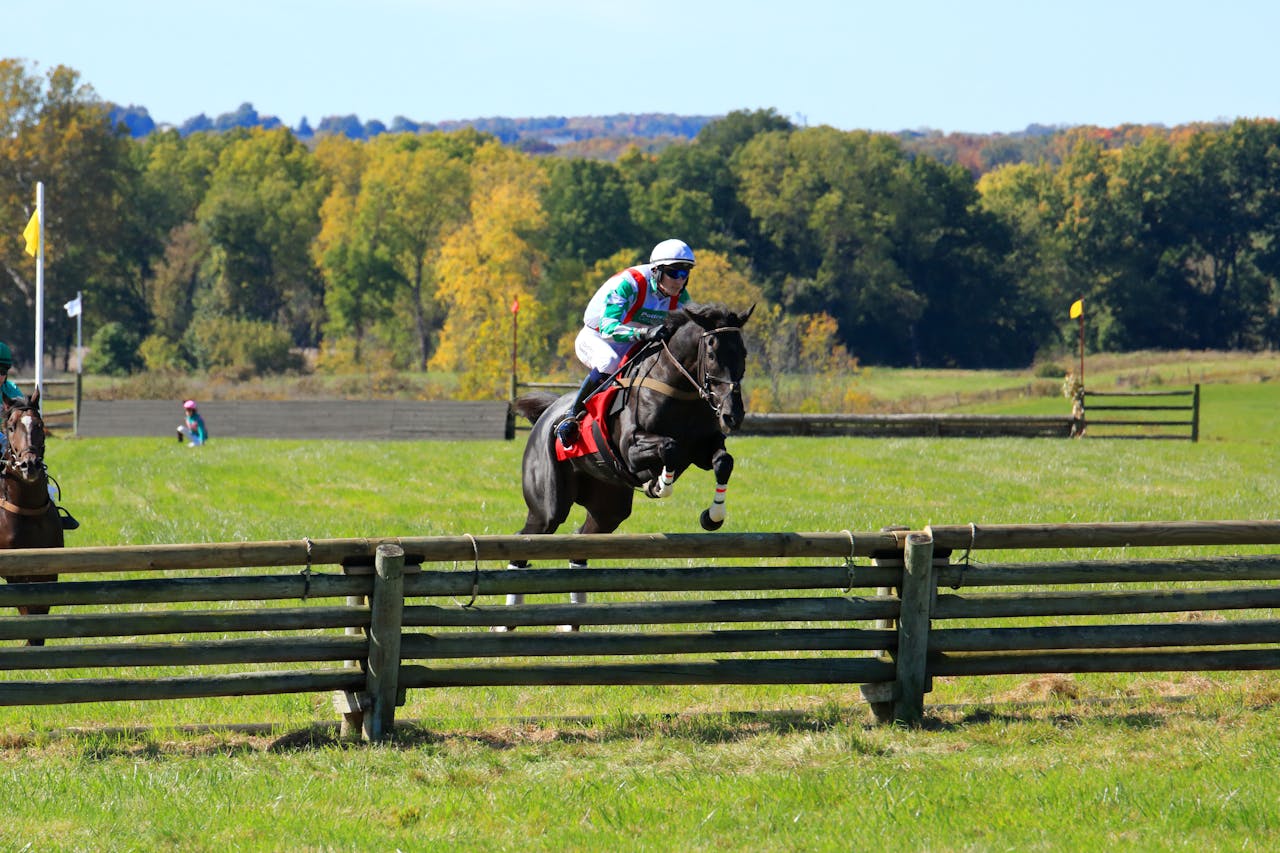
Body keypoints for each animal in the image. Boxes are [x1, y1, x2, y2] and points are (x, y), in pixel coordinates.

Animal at [505, 302, 753, 627]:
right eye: (711, 354)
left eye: (744, 353)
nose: (732, 415)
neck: (678, 388)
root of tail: (546, 415)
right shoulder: (631, 450)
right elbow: (669, 448)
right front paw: (661, 484)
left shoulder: (703, 448)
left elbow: (724, 462)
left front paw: (713, 516)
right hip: (548, 508)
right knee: (523, 541)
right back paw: (504, 622)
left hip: (608, 507)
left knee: (580, 544)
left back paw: (570, 622)